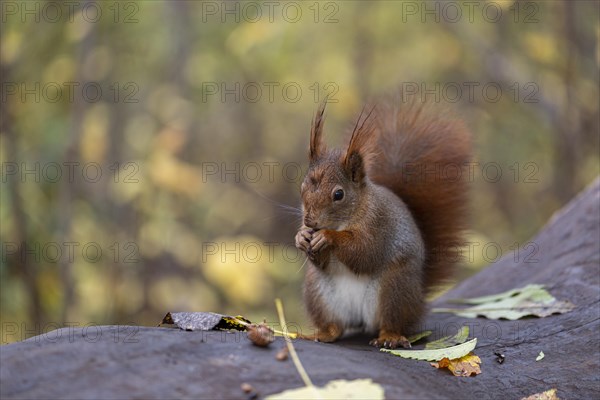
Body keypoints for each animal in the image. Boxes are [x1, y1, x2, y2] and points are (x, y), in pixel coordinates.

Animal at [298, 92, 472, 348]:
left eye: (338, 194)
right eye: (302, 188)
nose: (310, 222)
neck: (349, 217)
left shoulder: (379, 224)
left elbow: (365, 252)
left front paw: (328, 237)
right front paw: (301, 237)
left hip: (394, 288)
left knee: (390, 322)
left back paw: (390, 337)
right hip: (319, 293)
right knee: (335, 327)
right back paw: (322, 334)